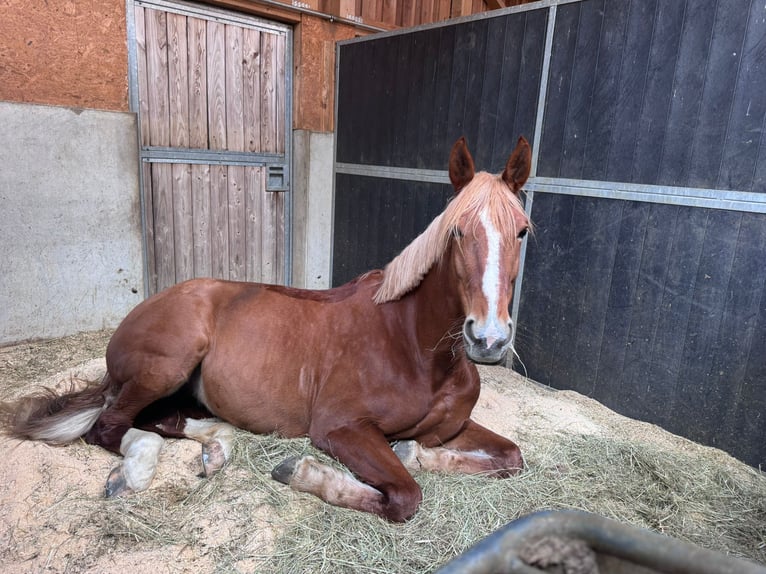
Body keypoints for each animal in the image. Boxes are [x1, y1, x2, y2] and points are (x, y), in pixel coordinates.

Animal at [1, 136, 531, 522]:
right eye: (457, 231)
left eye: (522, 230)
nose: (488, 339)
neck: (415, 350)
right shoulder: (341, 428)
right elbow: (404, 494)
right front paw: (303, 472)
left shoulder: (454, 428)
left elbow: (511, 457)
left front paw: (416, 451)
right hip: (167, 365)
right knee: (110, 426)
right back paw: (133, 473)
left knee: (163, 420)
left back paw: (215, 451)